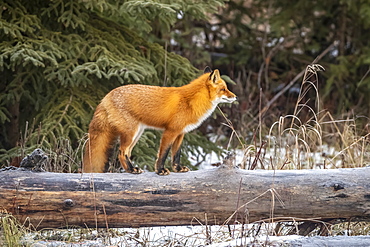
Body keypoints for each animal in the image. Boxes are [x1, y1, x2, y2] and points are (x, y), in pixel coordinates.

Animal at [82, 67, 236, 175]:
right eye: (224, 89)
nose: (235, 97)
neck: (190, 101)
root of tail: (106, 97)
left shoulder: (181, 133)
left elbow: (176, 154)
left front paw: (178, 169)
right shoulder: (170, 131)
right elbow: (163, 153)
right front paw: (160, 170)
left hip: (137, 134)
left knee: (127, 153)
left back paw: (131, 169)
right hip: (131, 133)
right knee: (121, 152)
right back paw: (132, 170)